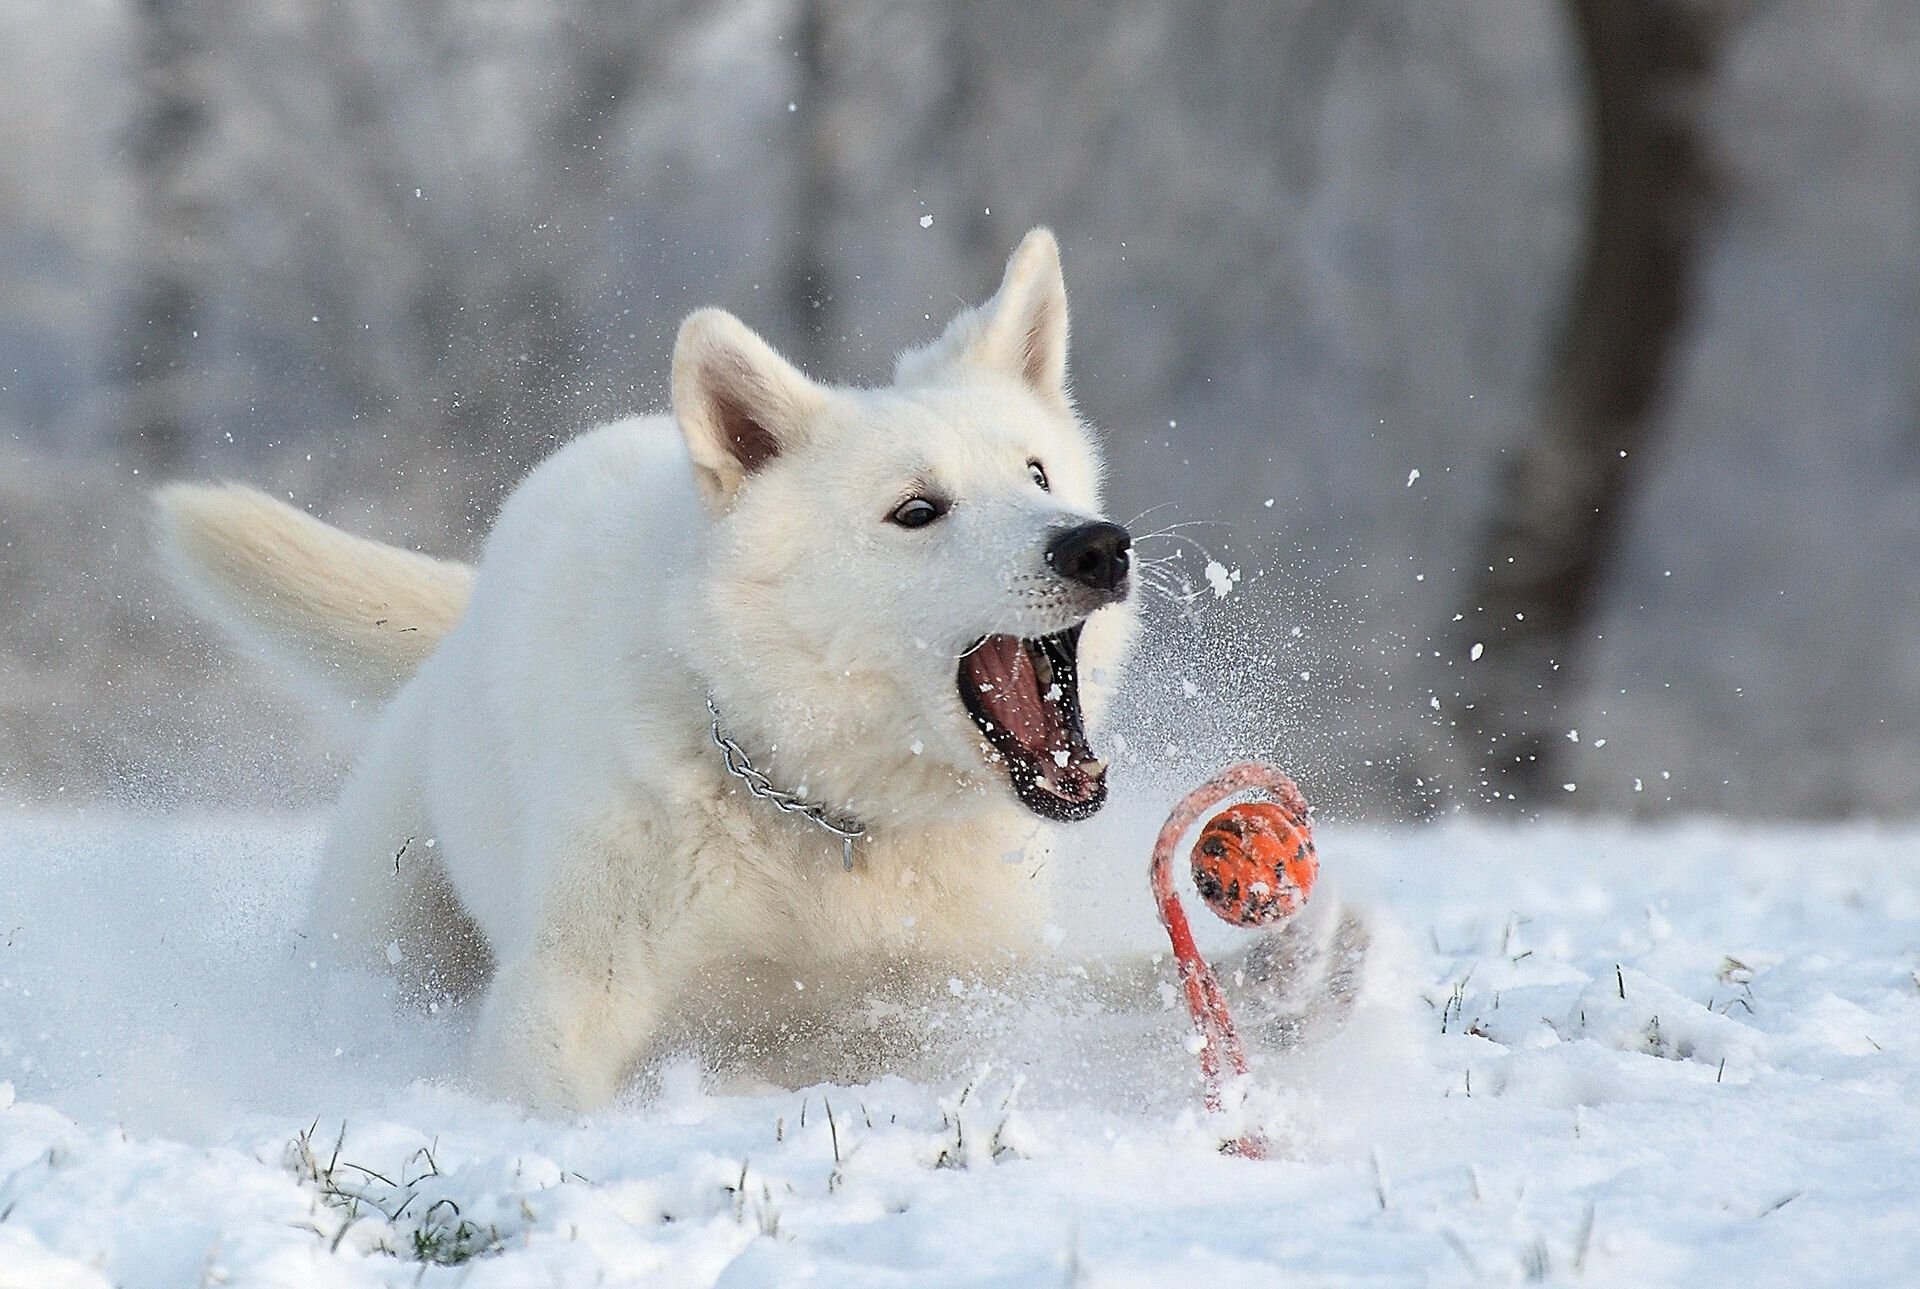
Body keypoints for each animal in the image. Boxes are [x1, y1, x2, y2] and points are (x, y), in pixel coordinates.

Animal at [161, 229, 1152, 1106]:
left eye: (1037, 475)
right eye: (917, 510)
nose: (1098, 546)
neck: (821, 812)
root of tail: (461, 625)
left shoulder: (967, 991)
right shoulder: (564, 991)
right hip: (380, 931)